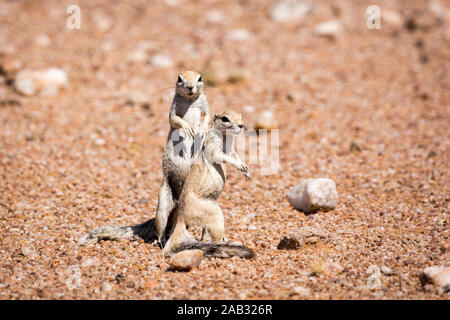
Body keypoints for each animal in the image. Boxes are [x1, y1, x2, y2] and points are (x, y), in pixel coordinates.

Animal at [78, 71, 209, 246]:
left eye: (199, 78)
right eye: (180, 78)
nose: (189, 87)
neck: (189, 100)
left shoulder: (205, 106)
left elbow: (207, 118)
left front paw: (201, 131)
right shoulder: (173, 108)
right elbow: (174, 119)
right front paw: (187, 129)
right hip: (162, 205)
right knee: (161, 227)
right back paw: (161, 240)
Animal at [162, 111, 255, 258]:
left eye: (240, 116)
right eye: (225, 118)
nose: (241, 125)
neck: (225, 136)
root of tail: (181, 217)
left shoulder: (231, 149)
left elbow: (234, 155)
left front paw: (245, 169)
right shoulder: (213, 143)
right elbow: (219, 155)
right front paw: (239, 165)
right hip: (215, 214)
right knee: (215, 239)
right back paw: (232, 243)